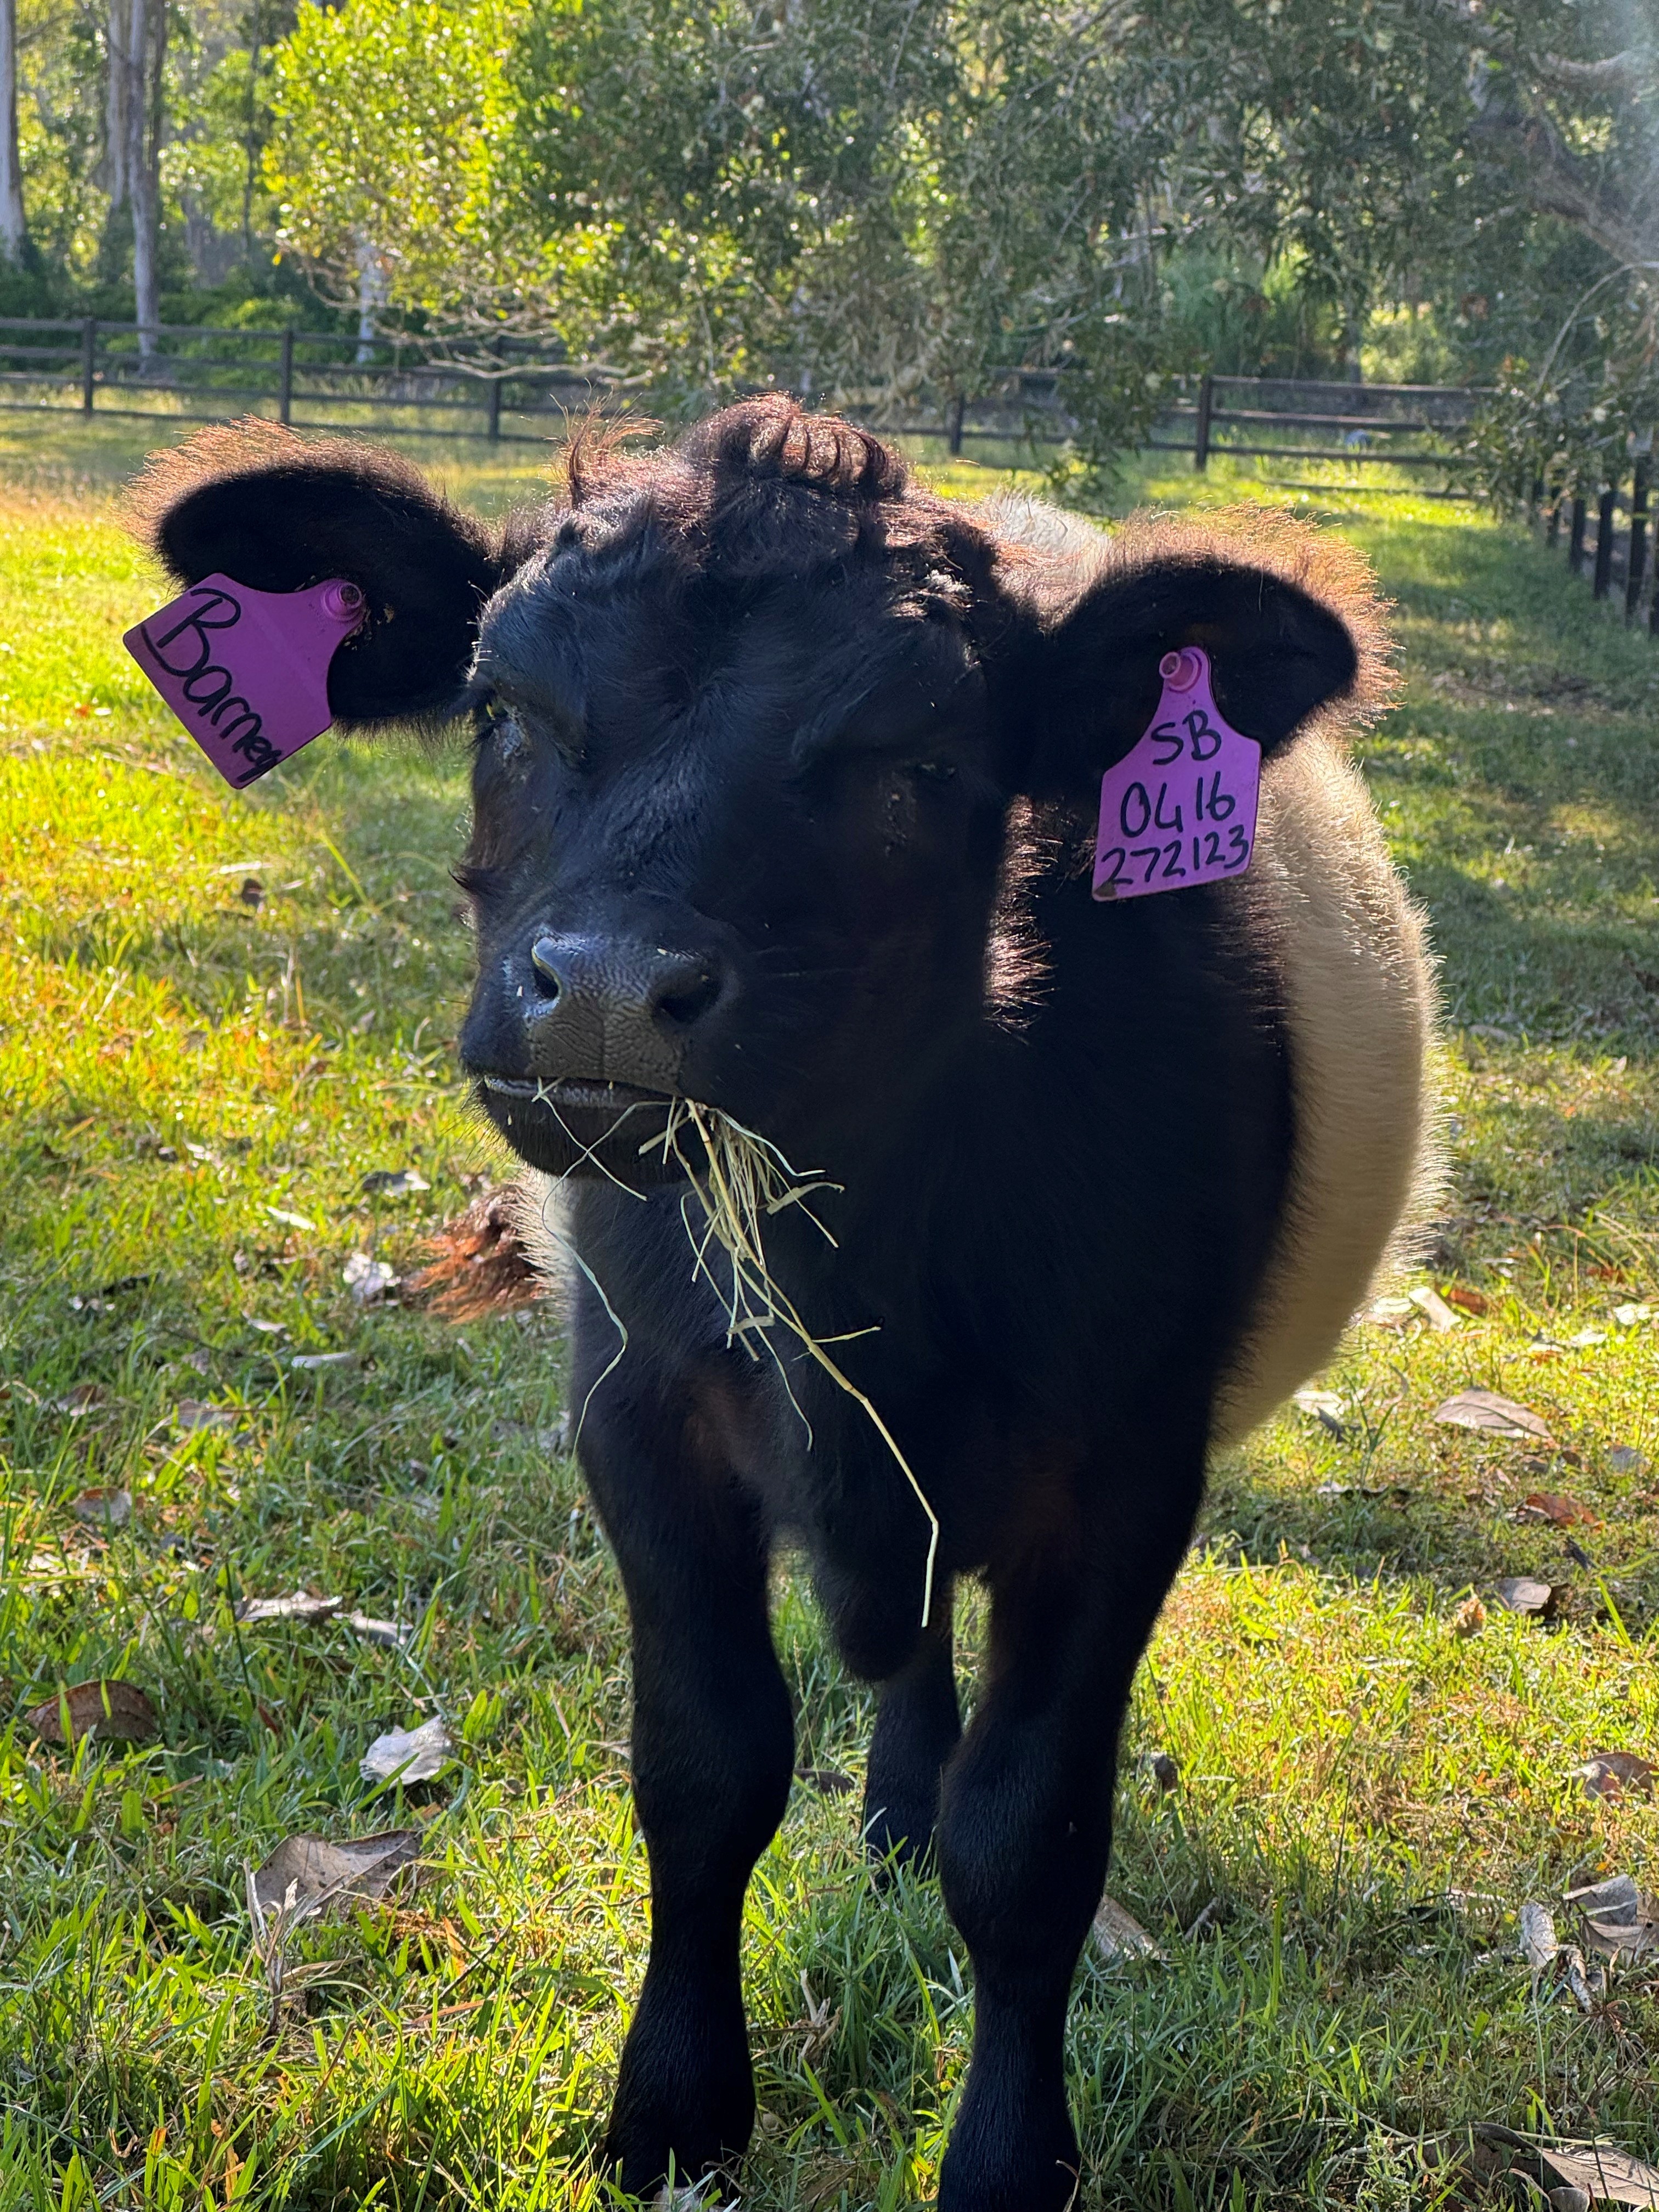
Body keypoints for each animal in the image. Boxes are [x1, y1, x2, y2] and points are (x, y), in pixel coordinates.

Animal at [131, 400, 1437, 2211]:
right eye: (501, 708)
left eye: (918, 764)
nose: (607, 991)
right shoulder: (636, 1414)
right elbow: (704, 1767)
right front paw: (672, 2106)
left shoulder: (1124, 1473)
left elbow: (1028, 1843)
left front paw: (1011, 2159)